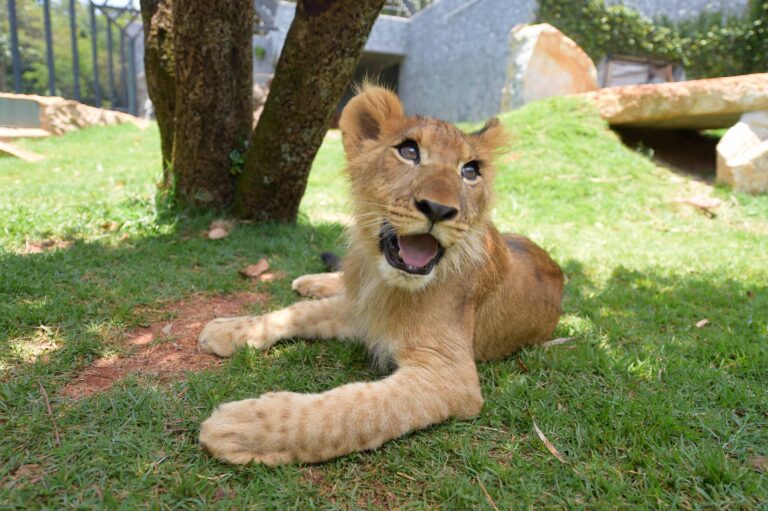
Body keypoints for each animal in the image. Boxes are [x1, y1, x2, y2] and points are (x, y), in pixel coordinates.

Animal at [197, 86, 564, 465]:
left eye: (470, 171)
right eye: (409, 151)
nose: (438, 209)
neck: (384, 285)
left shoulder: (451, 377)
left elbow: (356, 410)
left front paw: (243, 428)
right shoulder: (361, 307)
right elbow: (300, 312)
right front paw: (229, 330)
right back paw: (310, 282)